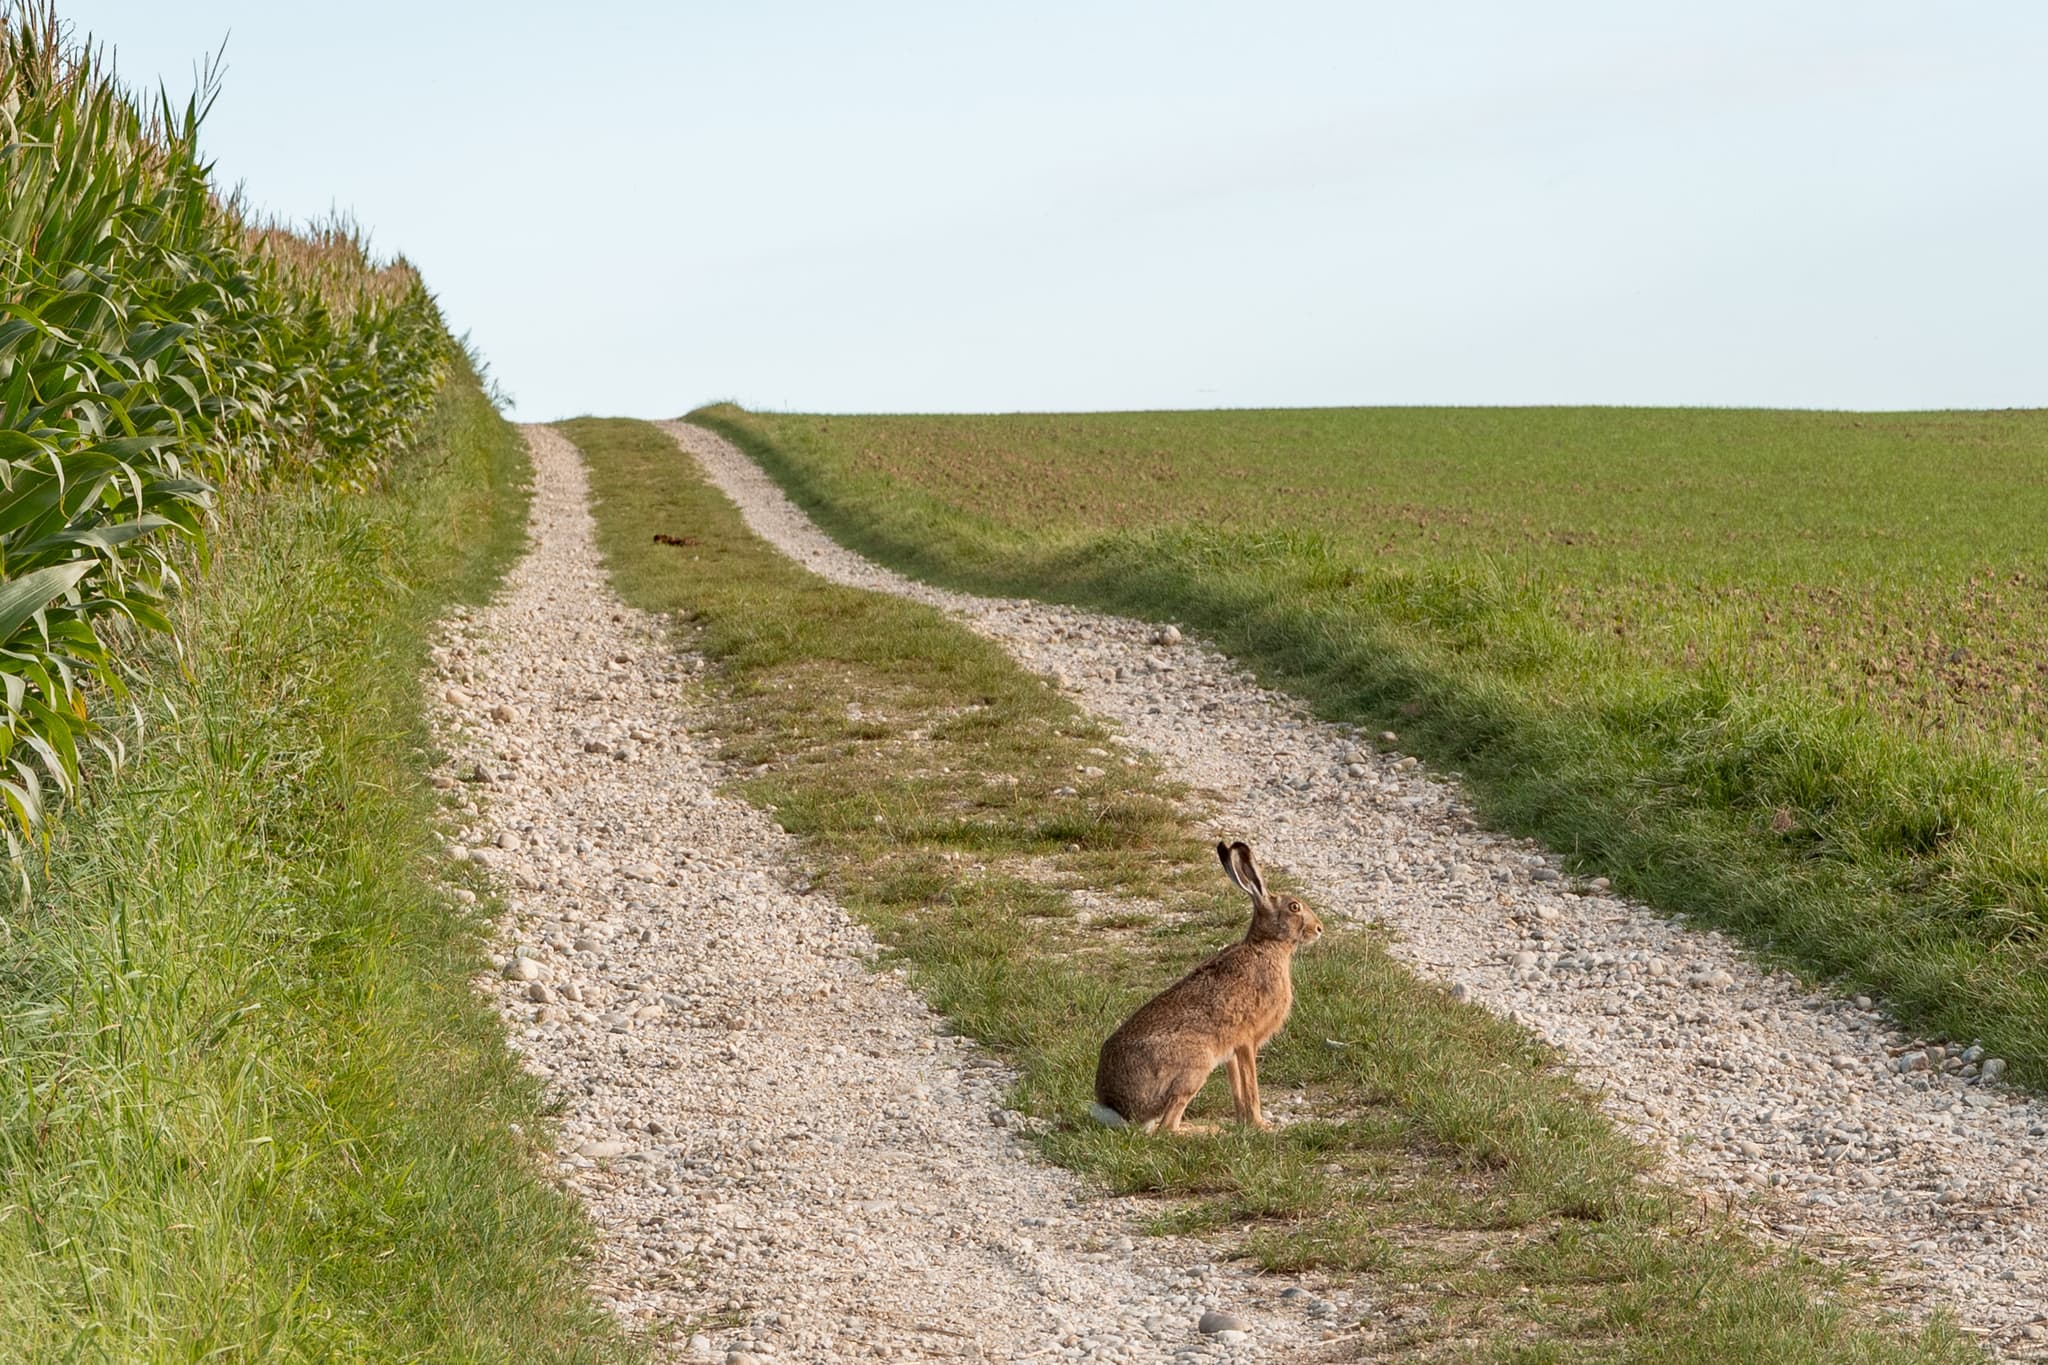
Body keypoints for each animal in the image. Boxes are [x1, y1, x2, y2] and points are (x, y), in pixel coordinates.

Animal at [1090, 840, 1323, 1133]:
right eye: (1294, 907)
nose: (1319, 928)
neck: (1268, 945)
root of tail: (1117, 1107)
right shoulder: (1247, 1040)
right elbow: (1251, 1086)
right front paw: (1261, 1125)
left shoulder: (1232, 1051)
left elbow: (1238, 1087)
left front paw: (1244, 1123)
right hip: (1196, 1066)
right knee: (1168, 1127)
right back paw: (1207, 1130)